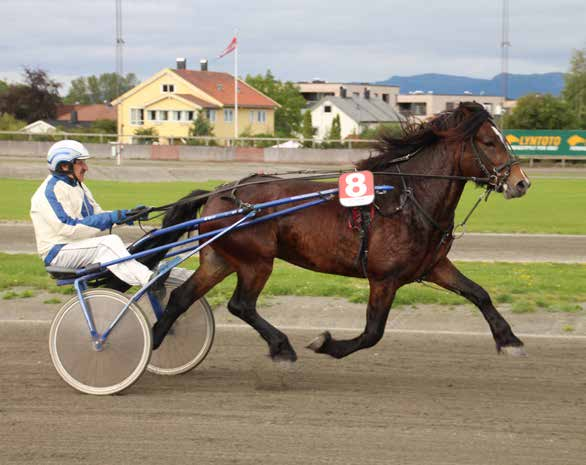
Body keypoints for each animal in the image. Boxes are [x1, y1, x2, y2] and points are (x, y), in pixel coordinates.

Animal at [151, 103, 528, 360]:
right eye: (488, 142)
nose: (521, 182)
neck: (409, 200)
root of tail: (219, 192)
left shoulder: (434, 266)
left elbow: (479, 293)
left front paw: (509, 340)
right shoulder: (384, 279)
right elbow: (373, 333)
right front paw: (326, 344)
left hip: (221, 259)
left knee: (181, 298)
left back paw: (154, 340)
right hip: (256, 261)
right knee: (241, 305)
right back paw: (281, 346)